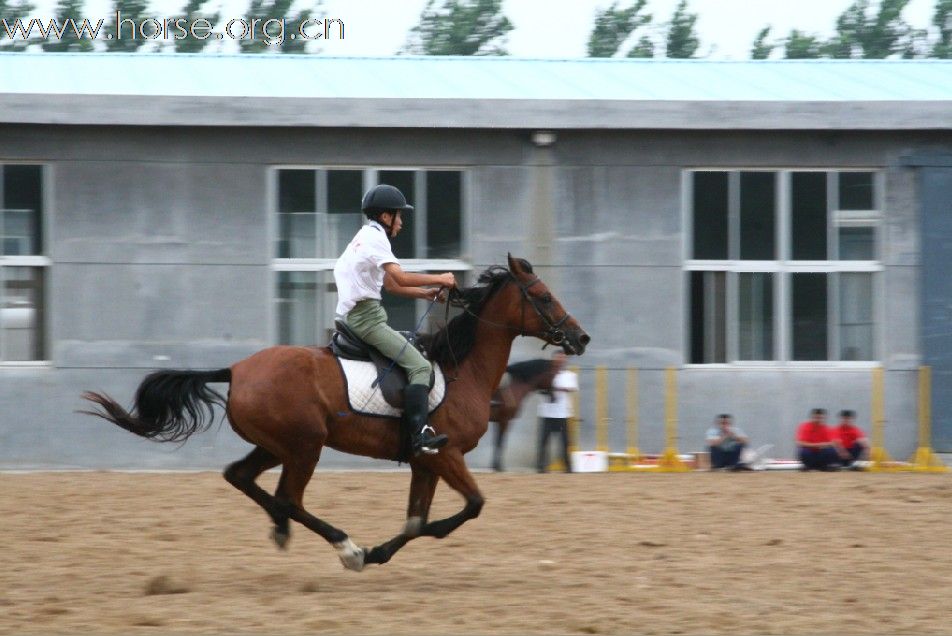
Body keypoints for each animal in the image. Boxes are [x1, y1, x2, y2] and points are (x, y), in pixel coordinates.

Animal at [82, 253, 588, 572]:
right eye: (544, 296)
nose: (580, 338)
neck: (462, 369)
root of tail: (237, 369)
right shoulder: (444, 455)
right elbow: (471, 507)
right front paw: (379, 550)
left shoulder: (425, 462)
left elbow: (415, 522)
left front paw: (382, 552)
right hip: (305, 446)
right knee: (288, 497)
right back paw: (344, 545)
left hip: (277, 446)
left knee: (241, 477)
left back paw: (284, 529)